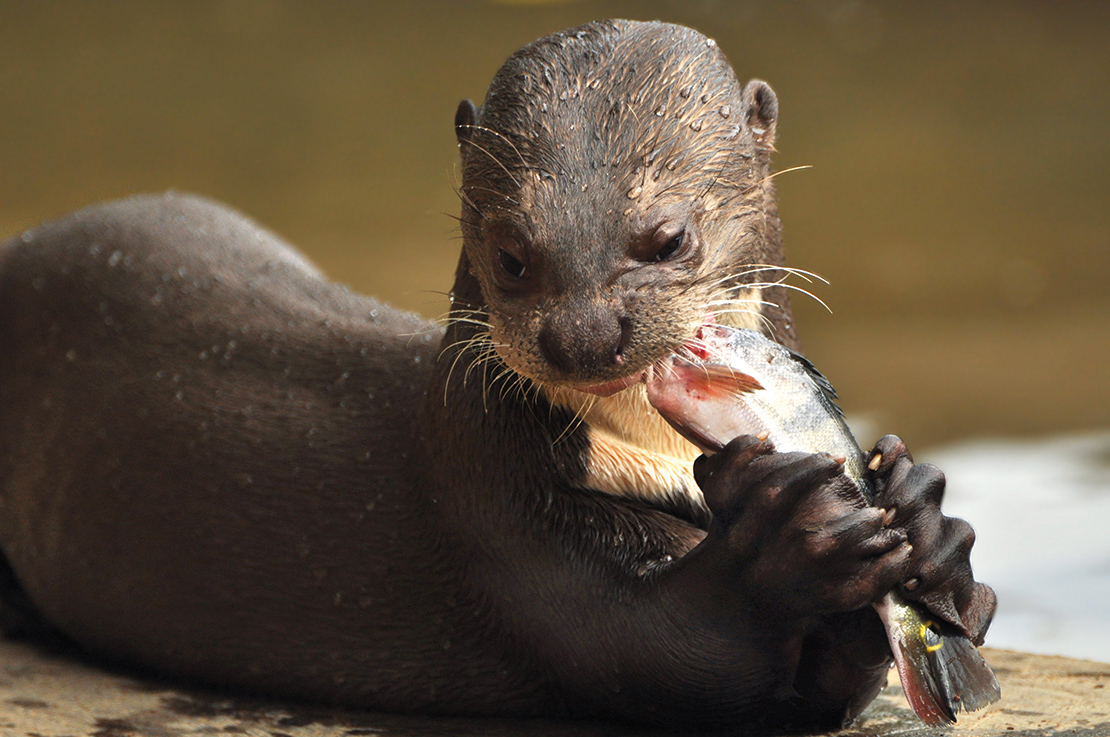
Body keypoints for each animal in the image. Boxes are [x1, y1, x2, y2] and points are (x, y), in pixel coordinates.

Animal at [0, 18, 990, 732]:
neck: (655, 464)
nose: (585, 334)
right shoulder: (496, 518)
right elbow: (668, 653)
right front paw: (788, 531)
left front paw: (927, 520)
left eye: (668, 238)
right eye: (513, 255)